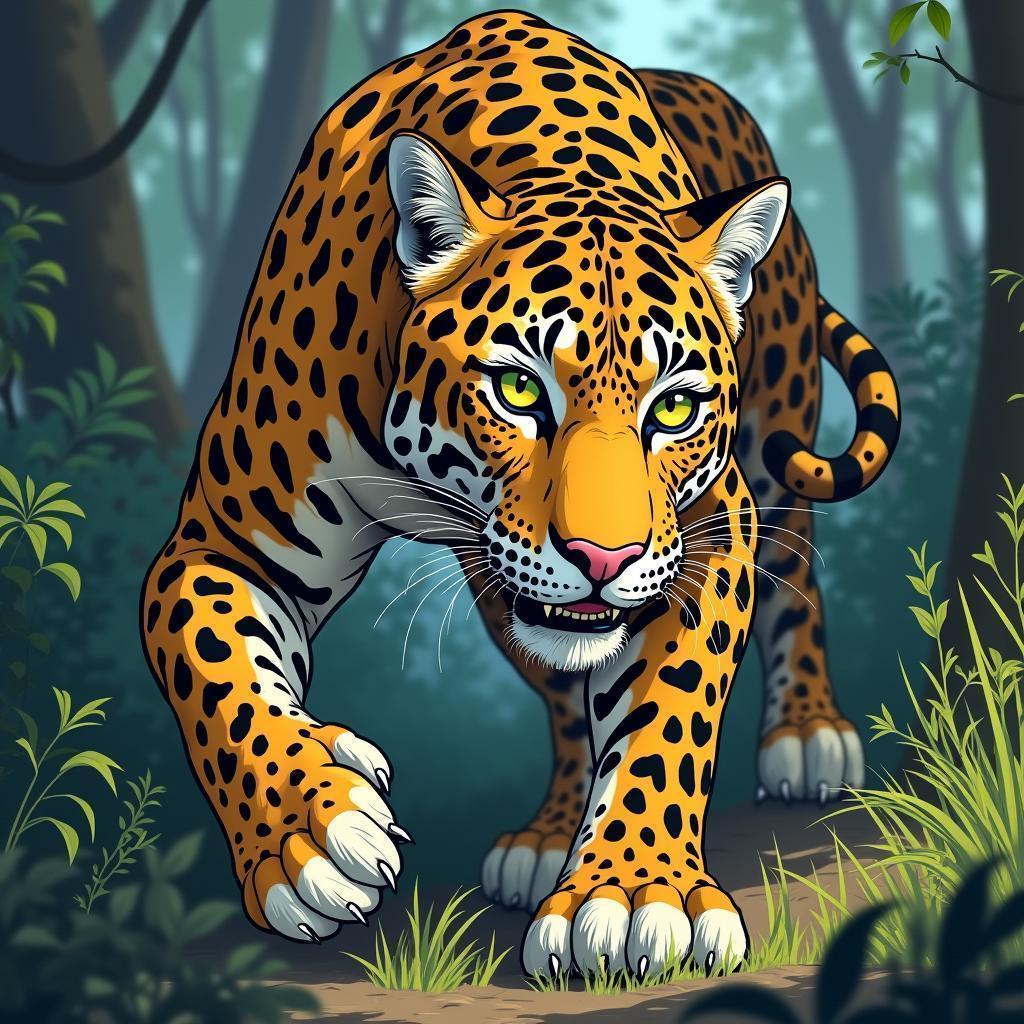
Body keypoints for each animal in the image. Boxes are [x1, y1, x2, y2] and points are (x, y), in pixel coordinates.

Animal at [140, 10, 900, 978]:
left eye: (675, 406)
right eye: (518, 389)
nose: (604, 558)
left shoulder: (707, 531)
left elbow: (668, 715)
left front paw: (633, 894)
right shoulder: (224, 540)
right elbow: (214, 668)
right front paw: (311, 828)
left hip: (777, 435)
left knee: (793, 568)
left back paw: (807, 735)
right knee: (564, 687)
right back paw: (546, 839)